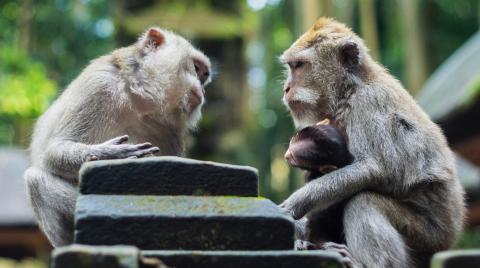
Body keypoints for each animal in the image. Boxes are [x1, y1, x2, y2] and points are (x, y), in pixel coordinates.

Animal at [24, 27, 211, 247]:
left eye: (204, 76)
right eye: (196, 68)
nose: (203, 89)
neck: (139, 98)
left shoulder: (170, 128)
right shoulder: (99, 85)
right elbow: (53, 152)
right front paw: (109, 153)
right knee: (35, 179)